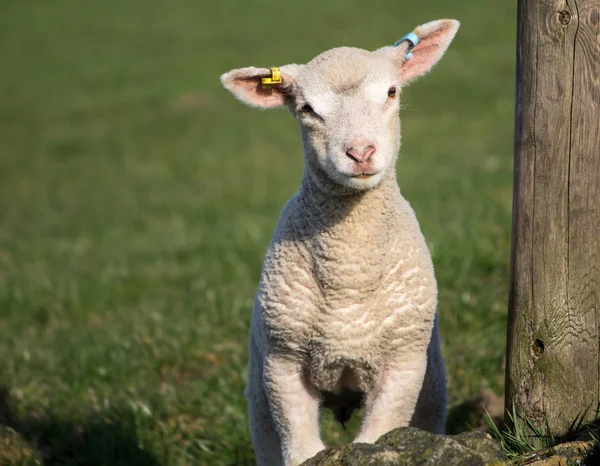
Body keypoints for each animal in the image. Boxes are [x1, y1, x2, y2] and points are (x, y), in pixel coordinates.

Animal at [220, 18, 460, 466]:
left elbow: (376, 439)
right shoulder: (282, 364)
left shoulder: (403, 364)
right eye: (307, 110)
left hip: (432, 387)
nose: (361, 152)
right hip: (257, 398)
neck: (349, 274)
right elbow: (301, 450)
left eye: (391, 92)